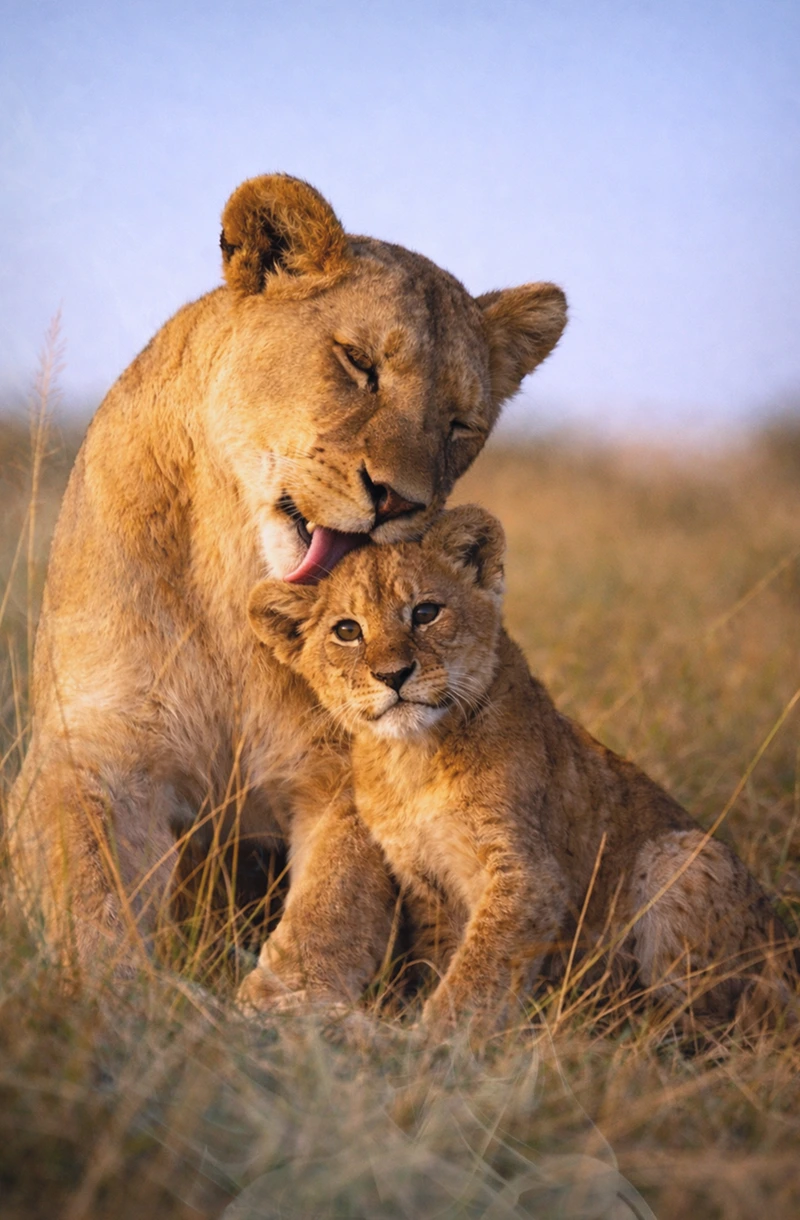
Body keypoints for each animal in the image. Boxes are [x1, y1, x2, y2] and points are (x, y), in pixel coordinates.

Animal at [8, 175, 567, 1004]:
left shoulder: (348, 775)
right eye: (358, 363)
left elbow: (332, 912)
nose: (398, 501)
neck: (231, 582)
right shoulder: (94, 754)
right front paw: (122, 997)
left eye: (460, 424)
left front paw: (283, 1012)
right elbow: (85, 887)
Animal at [248, 505, 797, 1031]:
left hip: (682, 855)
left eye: (425, 613)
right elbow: (446, 960)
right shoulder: (426, 881)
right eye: (347, 631)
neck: (414, 759)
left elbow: (480, 967)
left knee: (713, 1022)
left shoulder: (529, 873)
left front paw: (434, 1041)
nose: (393, 675)